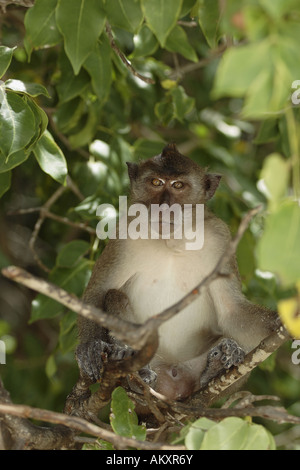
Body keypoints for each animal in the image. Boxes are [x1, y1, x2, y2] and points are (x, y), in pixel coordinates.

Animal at [77, 143, 278, 400]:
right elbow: (98, 291)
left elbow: (232, 310)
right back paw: (136, 371)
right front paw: (90, 349)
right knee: (114, 295)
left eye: (178, 185)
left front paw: (279, 323)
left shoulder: (220, 238)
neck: (172, 239)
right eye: (156, 182)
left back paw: (217, 366)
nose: (164, 207)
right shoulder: (124, 233)